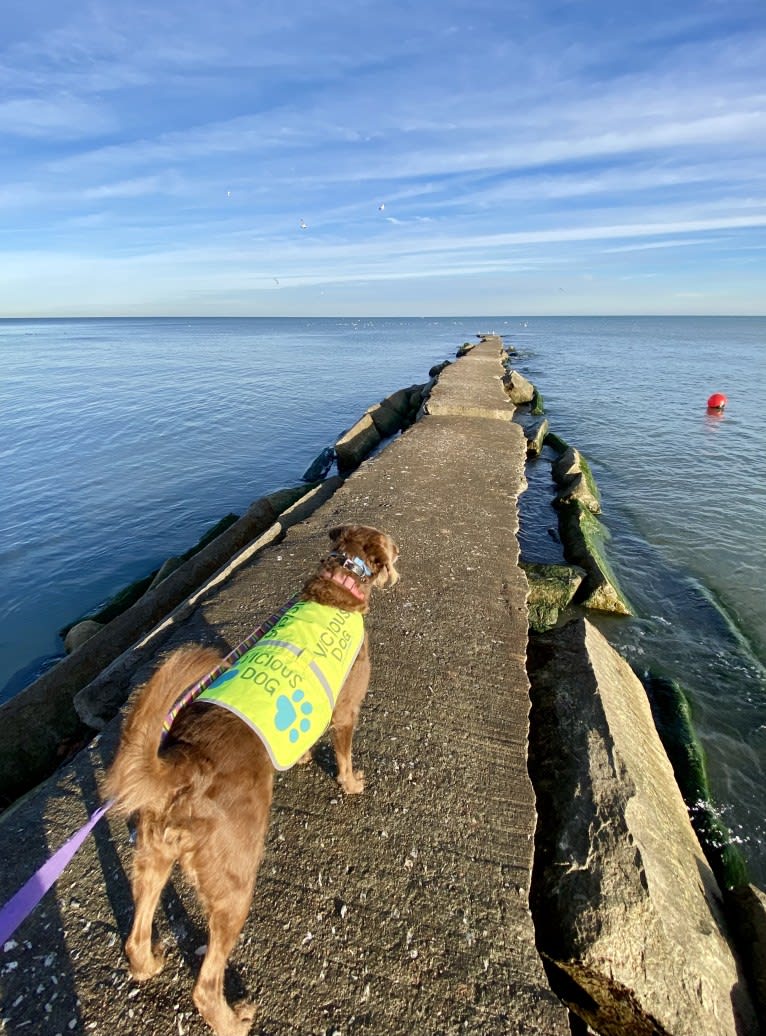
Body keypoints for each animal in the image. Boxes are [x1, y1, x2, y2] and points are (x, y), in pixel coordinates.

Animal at [105, 526, 402, 1036]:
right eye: (395, 552)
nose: (401, 569)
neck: (340, 585)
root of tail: (188, 763)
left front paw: (302, 756)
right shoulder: (346, 709)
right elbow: (344, 756)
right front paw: (351, 784)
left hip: (151, 857)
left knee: (136, 936)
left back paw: (148, 964)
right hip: (235, 881)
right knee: (205, 984)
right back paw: (233, 1019)